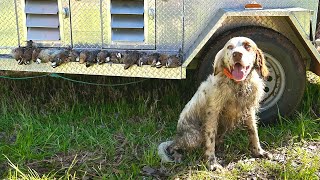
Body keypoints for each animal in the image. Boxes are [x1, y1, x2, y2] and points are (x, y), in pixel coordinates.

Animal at [159, 37, 272, 170]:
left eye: (248, 46)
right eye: (230, 47)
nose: (237, 54)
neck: (238, 85)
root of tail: (177, 136)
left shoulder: (249, 110)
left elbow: (253, 132)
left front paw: (258, 151)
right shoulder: (212, 113)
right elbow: (210, 139)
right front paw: (212, 162)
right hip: (195, 137)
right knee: (173, 147)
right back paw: (177, 155)